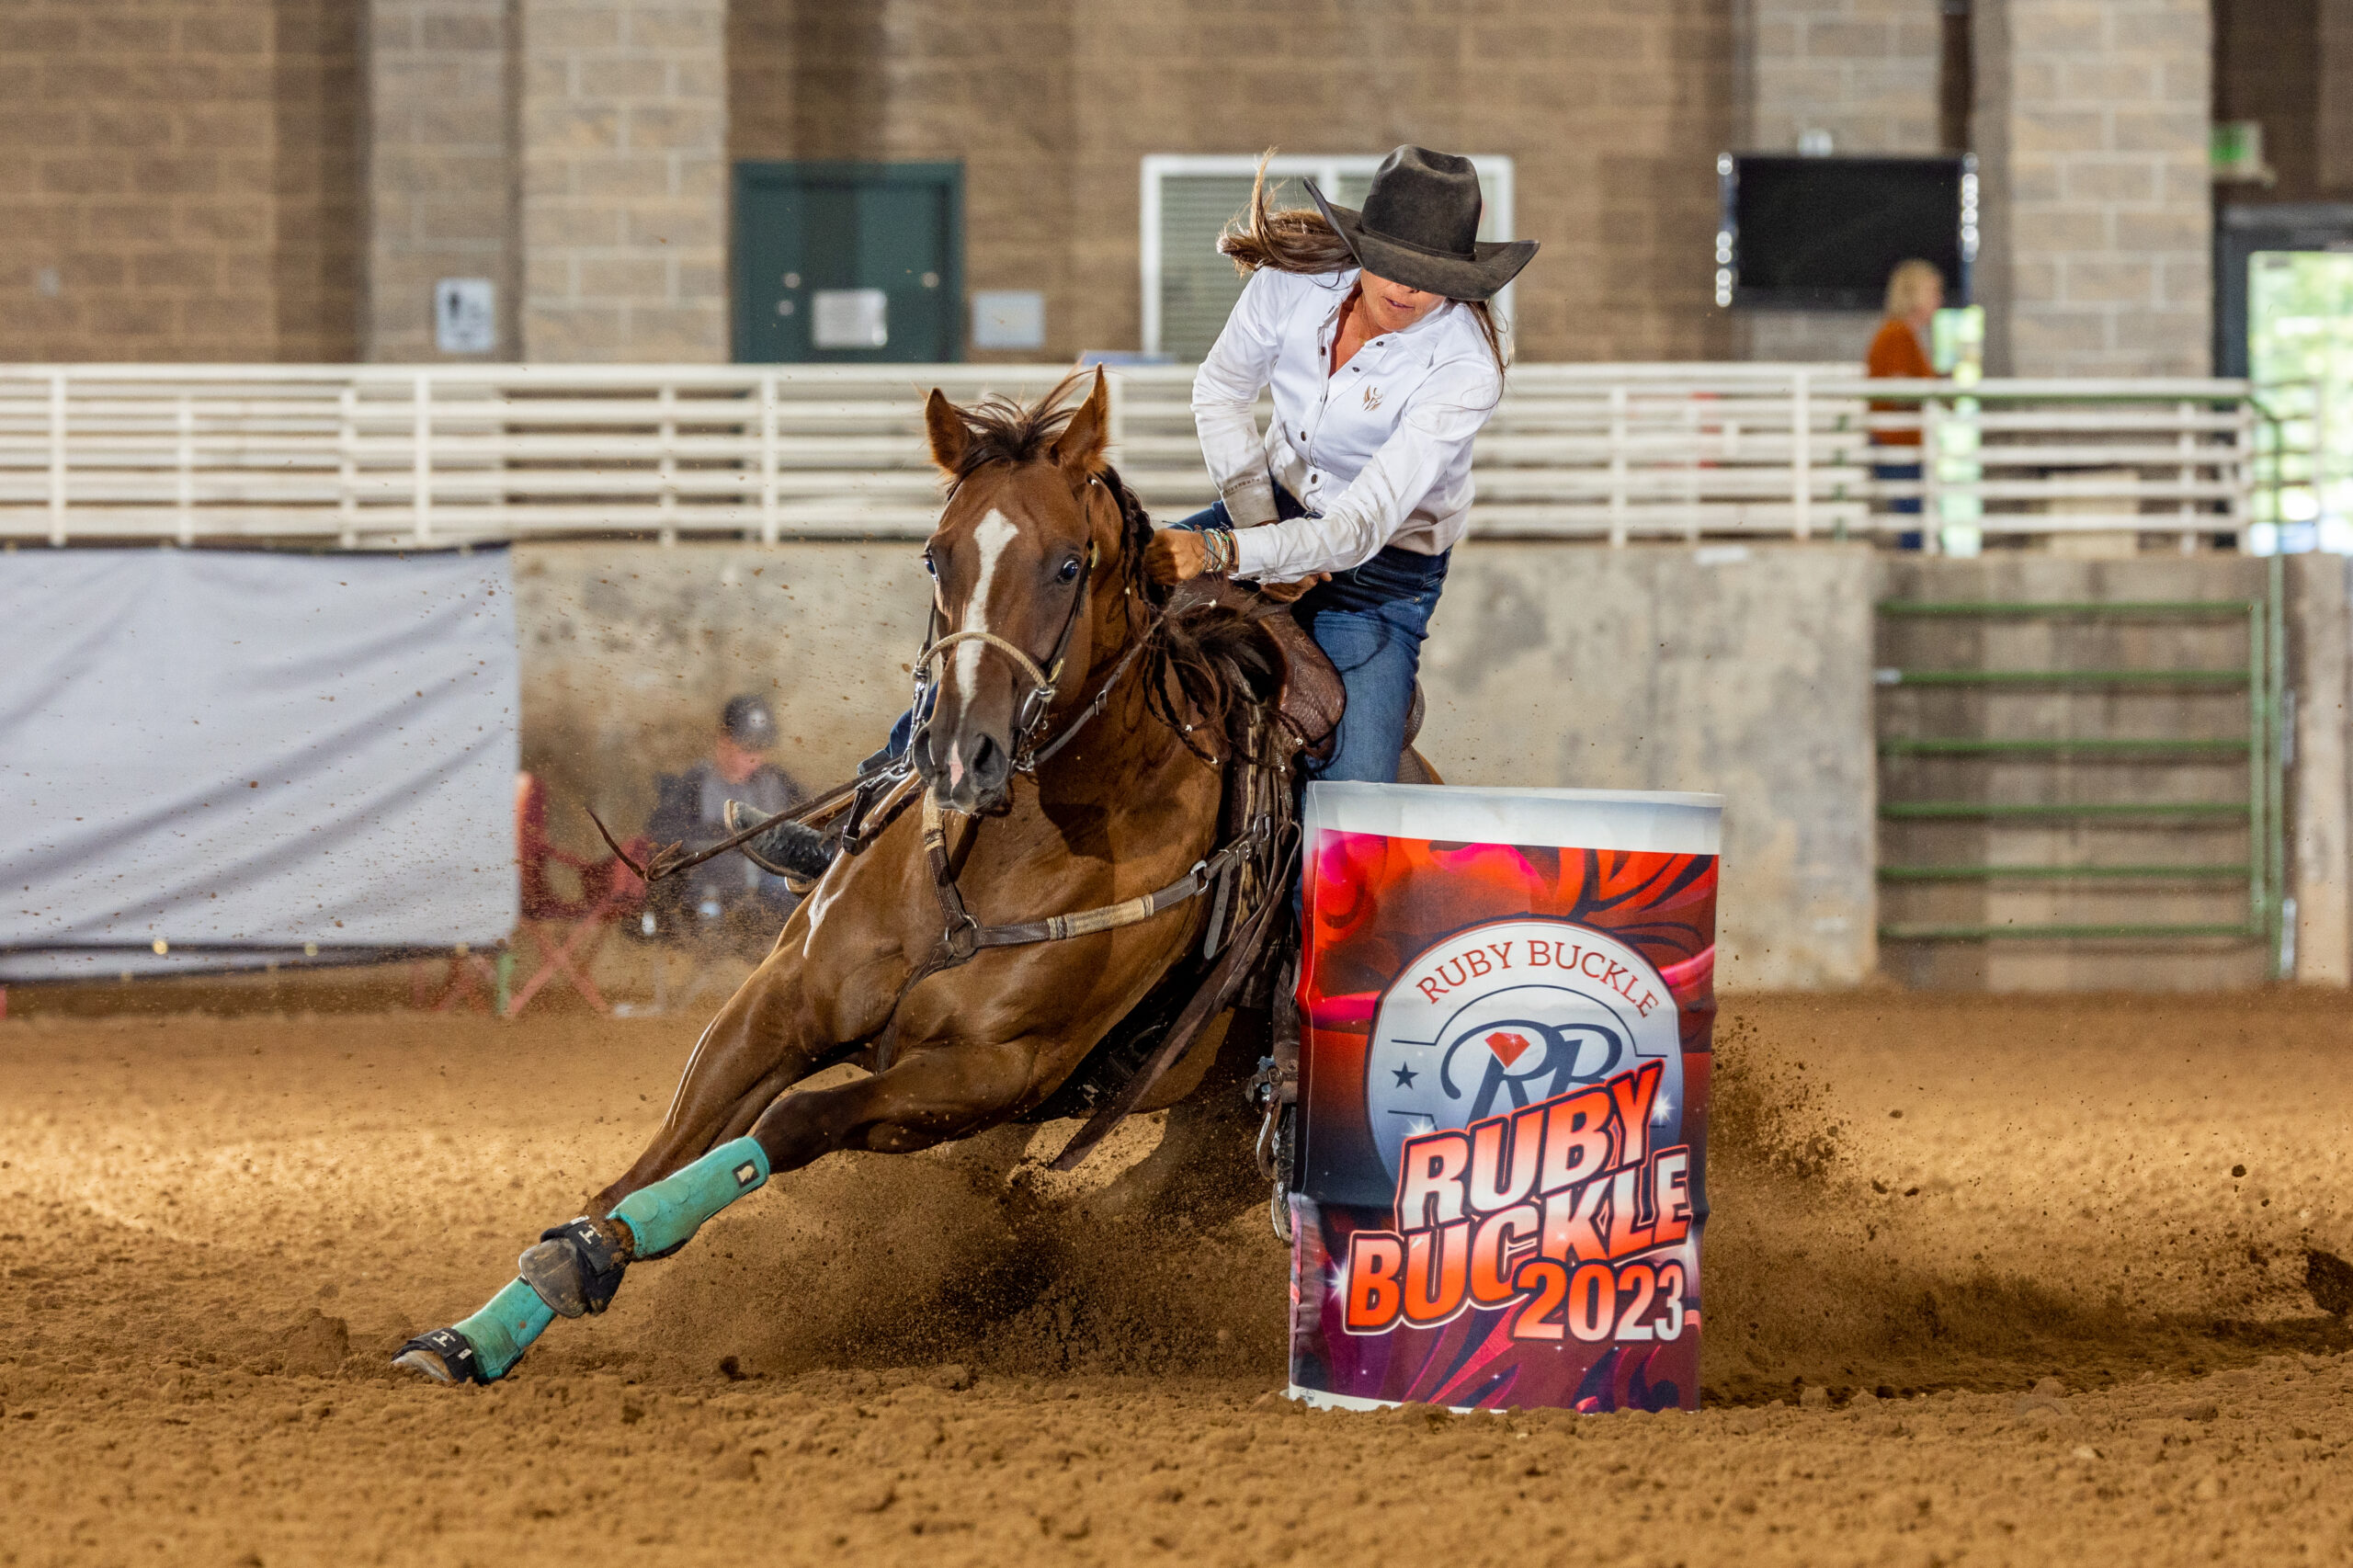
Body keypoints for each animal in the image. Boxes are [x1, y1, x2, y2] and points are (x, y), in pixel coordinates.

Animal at [404, 367, 1326, 1384]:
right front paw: (493, 1320)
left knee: (1121, 1213)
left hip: (1219, 1136)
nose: (962, 751)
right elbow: (656, 1154)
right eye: (935, 556)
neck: (998, 861)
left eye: (1067, 565)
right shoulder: (782, 1004)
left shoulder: (987, 1074)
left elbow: (789, 1126)